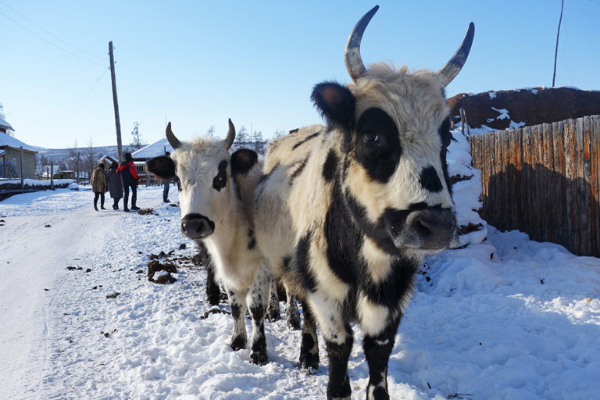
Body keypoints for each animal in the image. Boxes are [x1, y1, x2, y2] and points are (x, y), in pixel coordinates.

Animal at [147, 119, 272, 366]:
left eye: (220, 178)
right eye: (177, 180)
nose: (194, 224)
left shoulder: (262, 266)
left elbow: (256, 307)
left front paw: (258, 351)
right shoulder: (226, 270)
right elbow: (236, 306)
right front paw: (237, 341)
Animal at [253, 6, 474, 400]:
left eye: (446, 138)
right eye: (371, 135)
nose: (435, 227)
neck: (365, 257)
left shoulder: (389, 302)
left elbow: (378, 360)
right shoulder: (325, 295)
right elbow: (339, 356)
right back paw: (304, 353)